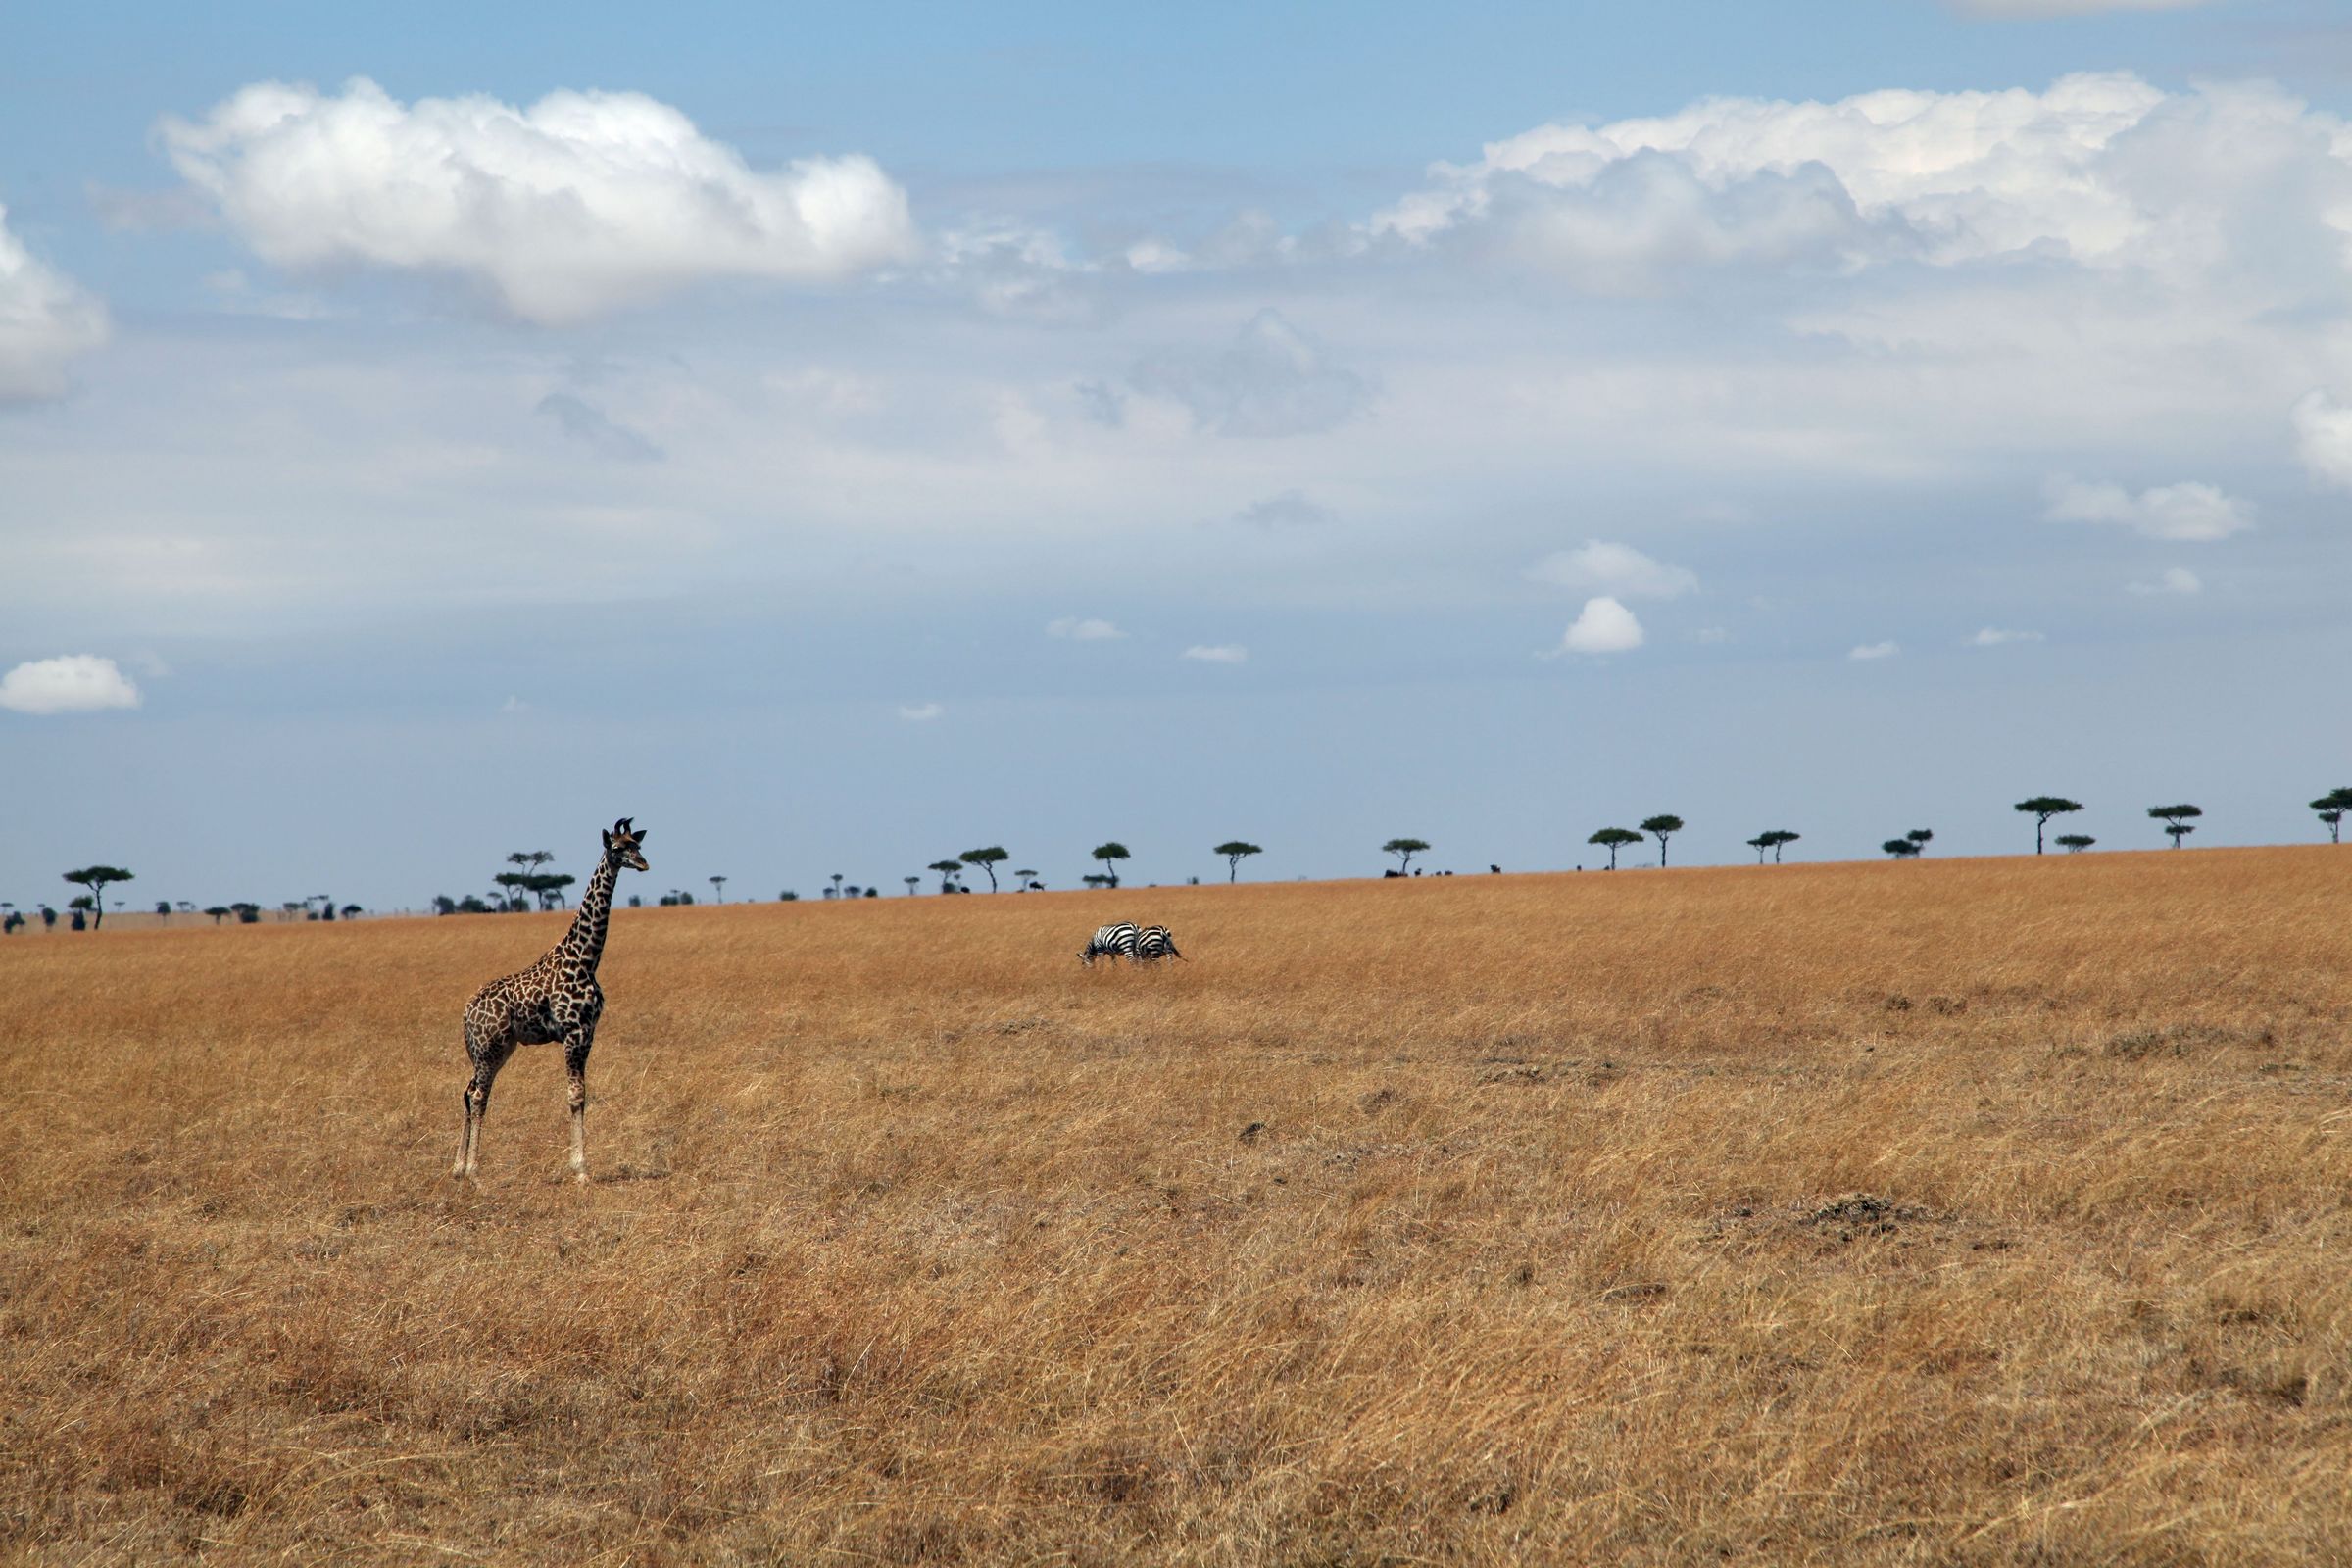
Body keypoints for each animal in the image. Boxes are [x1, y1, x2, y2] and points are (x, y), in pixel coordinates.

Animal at [451, 817, 649, 1184]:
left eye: (638, 845)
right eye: (618, 848)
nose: (644, 864)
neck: (586, 958)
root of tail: (467, 1013)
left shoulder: (589, 1033)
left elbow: (582, 1094)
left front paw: (580, 1166)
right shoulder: (574, 1033)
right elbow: (576, 1095)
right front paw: (581, 1170)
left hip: (496, 1049)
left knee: (468, 1093)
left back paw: (457, 1167)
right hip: (489, 1048)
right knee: (479, 1095)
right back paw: (474, 1172)